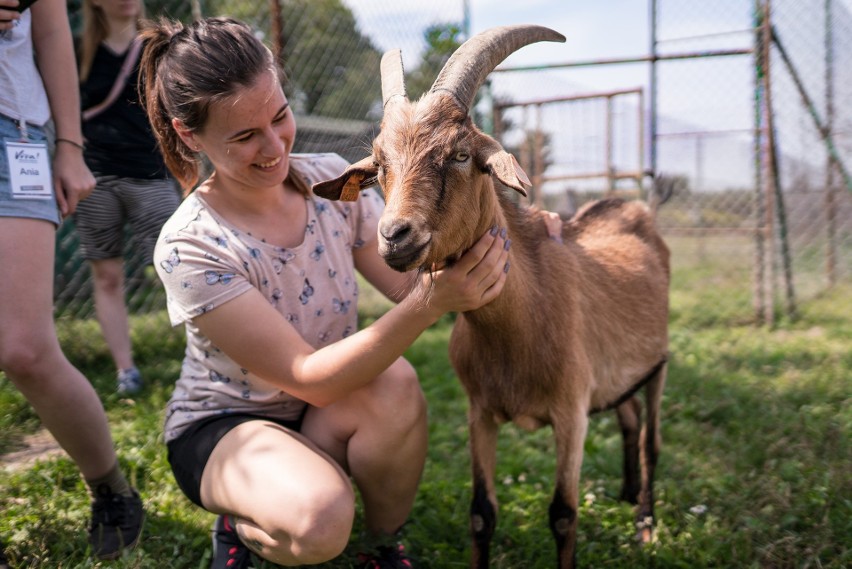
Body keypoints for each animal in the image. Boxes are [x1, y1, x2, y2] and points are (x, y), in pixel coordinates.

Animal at [312, 23, 672, 568]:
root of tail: (631, 209)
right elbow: (482, 512)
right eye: (378, 165)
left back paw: (645, 524)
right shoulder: (480, 412)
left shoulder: (571, 415)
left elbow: (563, 514)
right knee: (628, 418)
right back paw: (628, 494)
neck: (521, 325)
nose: (394, 236)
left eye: (461, 155)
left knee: (651, 439)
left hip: (657, 366)